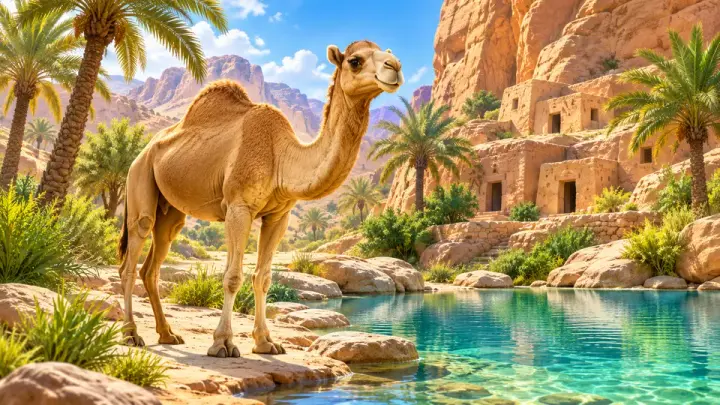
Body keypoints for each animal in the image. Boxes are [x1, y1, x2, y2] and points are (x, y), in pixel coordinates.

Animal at [117, 40, 403, 357]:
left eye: (389, 53)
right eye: (355, 61)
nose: (395, 67)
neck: (281, 157)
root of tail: (141, 154)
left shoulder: (278, 215)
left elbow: (263, 278)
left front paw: (266, 342)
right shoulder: (238, 208)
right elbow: (232, 277)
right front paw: (222, 343)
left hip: (170, 212)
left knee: (153, 264)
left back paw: (167, 334)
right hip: (140, 180)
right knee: (131, 258)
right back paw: (131, 334)